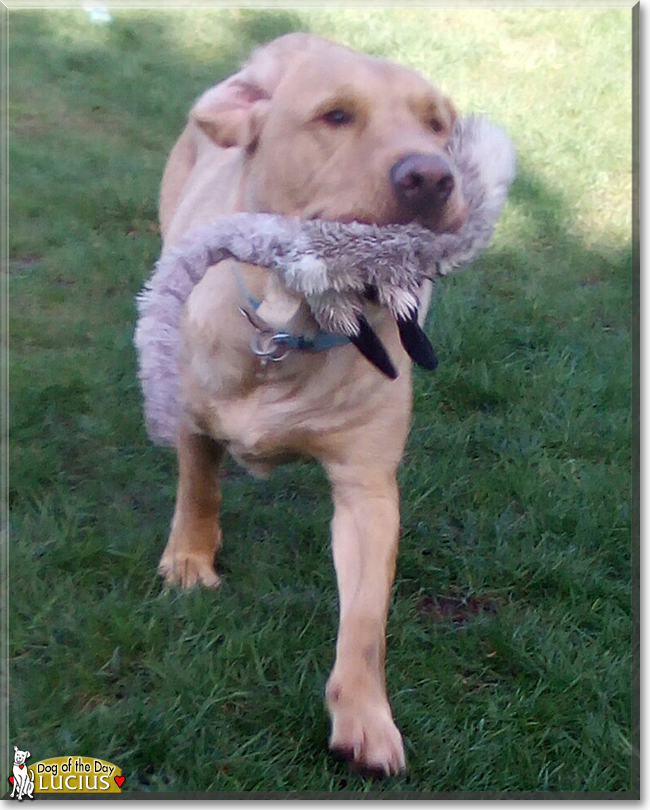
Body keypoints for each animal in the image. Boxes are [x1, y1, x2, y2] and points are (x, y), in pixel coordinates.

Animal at [155, 33, 464, 776]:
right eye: (335, 116)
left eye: (437, 125)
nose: (433, 177)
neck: (290, 327)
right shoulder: (192, 419)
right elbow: (198, 484)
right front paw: (190, 560)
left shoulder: (368, 488)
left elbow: (366, 619)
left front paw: (365, 715)